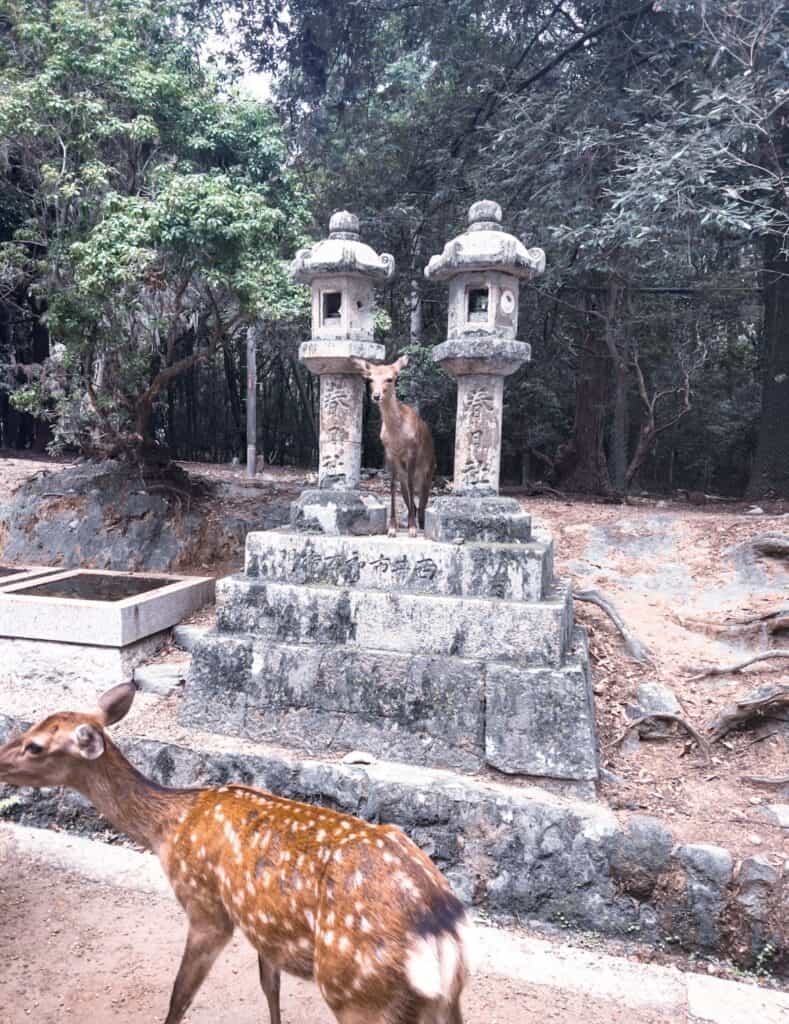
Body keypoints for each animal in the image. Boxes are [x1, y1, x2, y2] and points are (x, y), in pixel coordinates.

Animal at [0, 683, 472, 1024]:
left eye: (36, 745)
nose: (0, 757)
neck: (167, 828)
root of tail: (439, 932)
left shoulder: (208, 909)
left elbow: (178, 999)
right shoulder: (262, 924)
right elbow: (270, 989)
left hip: (358, 994)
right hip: (445, 1001)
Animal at [352, 355, 436, 537]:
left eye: (390, 379)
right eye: (370, 379)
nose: (376, 396)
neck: (397, 435)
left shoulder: (412, 451)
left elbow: (411, 487)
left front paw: (412, 528)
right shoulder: (389, 453)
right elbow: (391, 486)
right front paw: (392, 528)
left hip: (428, 471)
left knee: (422, 500)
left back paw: (421, 524)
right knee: (410, 497)